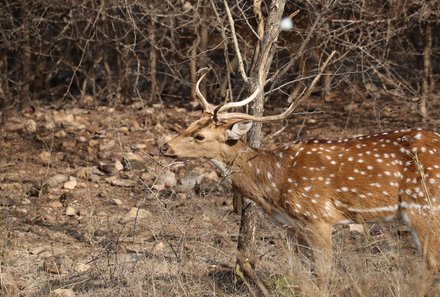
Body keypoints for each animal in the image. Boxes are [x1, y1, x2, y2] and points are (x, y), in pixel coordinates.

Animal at [161, 71, 440, 278]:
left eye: (200, 136)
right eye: (189, 125)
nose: (164, 146)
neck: (273, 184)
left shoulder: (318, 216)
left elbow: (324, 272)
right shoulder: (291, 225)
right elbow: (300, 271)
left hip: (423, 207)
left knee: (431, 264)